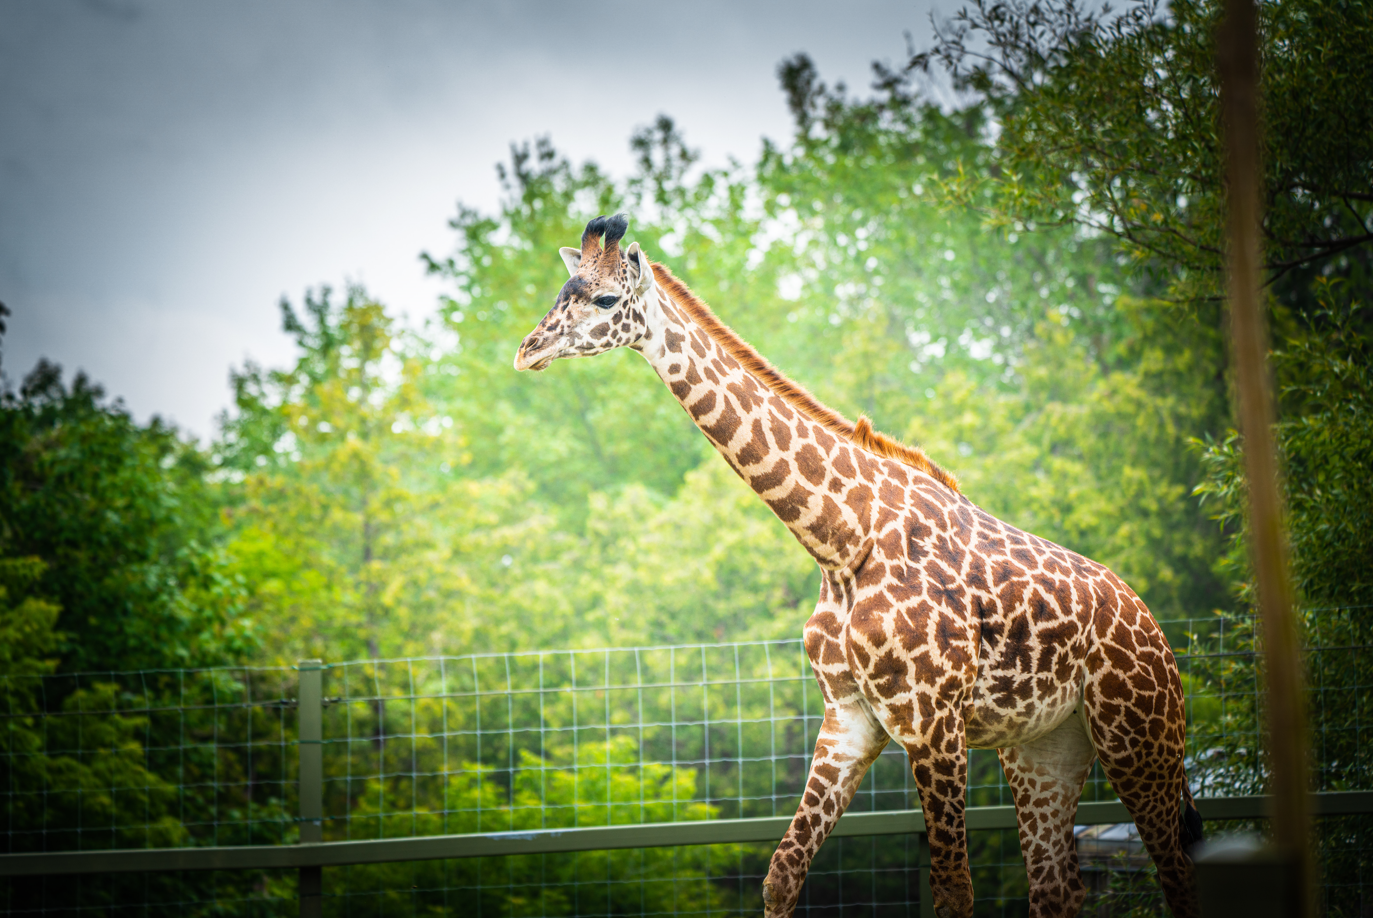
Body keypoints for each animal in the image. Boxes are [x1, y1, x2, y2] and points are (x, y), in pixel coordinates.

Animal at [514, 215, 1202, 918]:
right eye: (560, 292)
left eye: (603, 299)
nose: (528, 349)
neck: (841, 542)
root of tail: (1161, 639)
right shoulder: (848, 718)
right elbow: (783, 871)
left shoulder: (934, 725)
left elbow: (953, 892)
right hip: (1044, 746)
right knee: (1057, 887)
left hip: (1138, 738)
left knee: (1175, 872)